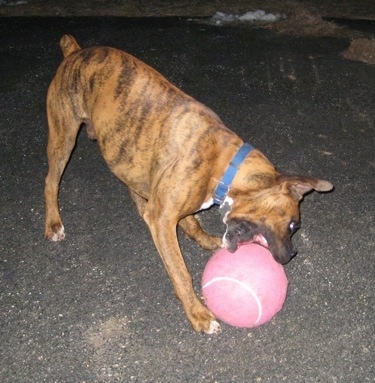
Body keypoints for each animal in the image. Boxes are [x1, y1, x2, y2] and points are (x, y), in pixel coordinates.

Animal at [45, 36, 334, 334]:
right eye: (293, 225)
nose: (292, 254)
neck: (223, 165)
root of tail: (76, 51)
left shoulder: (173, 207)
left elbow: (191, 222)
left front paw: (204, 239)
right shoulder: (162, 219)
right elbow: (180, 271)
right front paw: (197, 313)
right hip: (63, 137)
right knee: (50, 181)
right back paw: (53, 223)